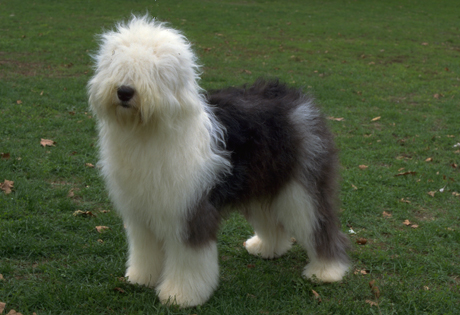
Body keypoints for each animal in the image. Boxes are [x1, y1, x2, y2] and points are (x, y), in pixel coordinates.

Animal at [88, 15, 350, 308]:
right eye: (118, 65)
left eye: (153, 71)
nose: (124, 92)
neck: (147, 132)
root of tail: (298, 99)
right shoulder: (141, 211)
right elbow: (145, 249)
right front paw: (142, 277)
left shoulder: (191, 209)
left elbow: (189, 258)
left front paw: (180, 295)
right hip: (261, 182)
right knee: (271, 218)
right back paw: (266, 248)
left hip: (302, 185)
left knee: (320, 224)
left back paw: (327, 270)